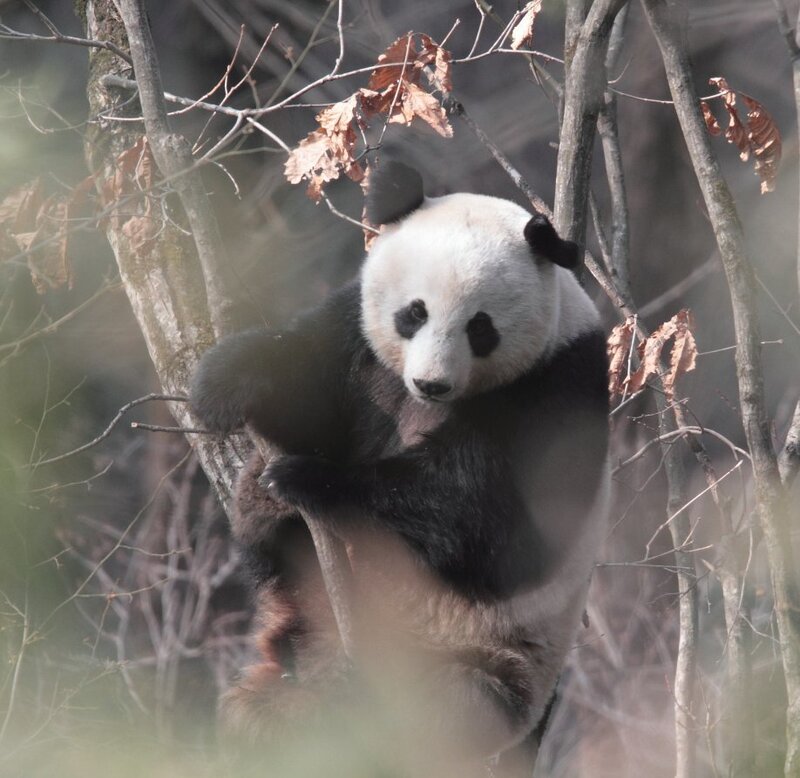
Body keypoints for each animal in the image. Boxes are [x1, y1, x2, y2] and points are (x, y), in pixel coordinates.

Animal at [190, 161, 610, 776]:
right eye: (414, 313)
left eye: (480, 328)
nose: (431, 383)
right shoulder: (357, 343)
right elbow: (305, 379)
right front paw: (225, 384)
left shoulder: (557, 387)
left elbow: (489, 526)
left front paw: (307, 480)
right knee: (262, 710)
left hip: (488, 672)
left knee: (441, 704)